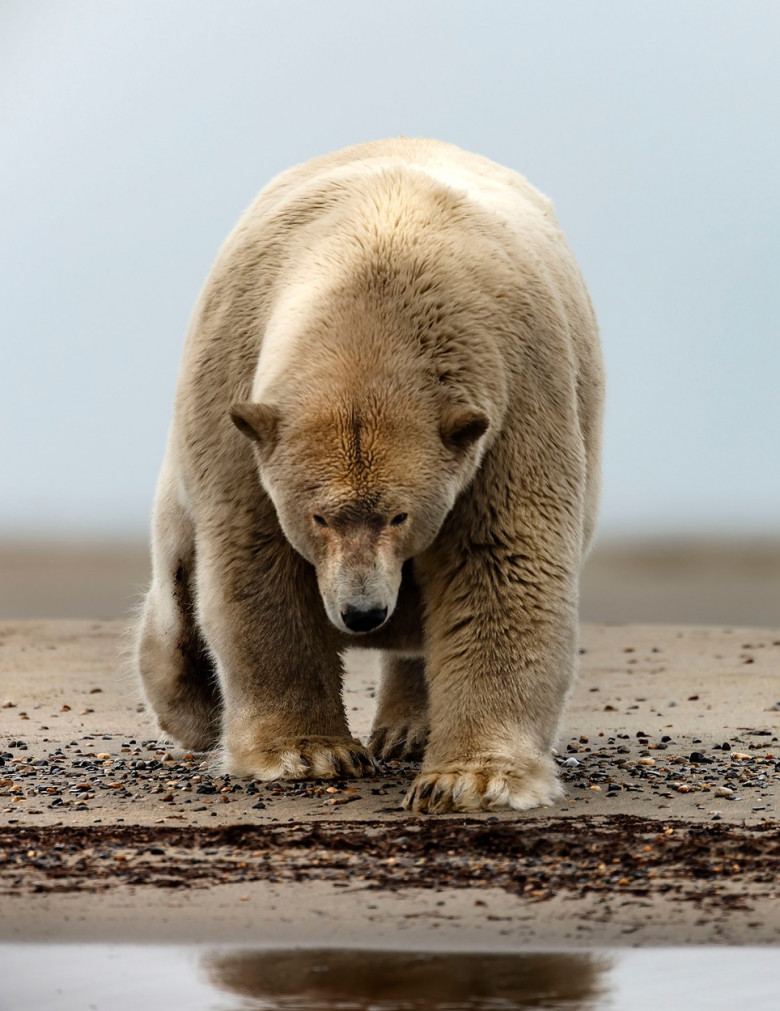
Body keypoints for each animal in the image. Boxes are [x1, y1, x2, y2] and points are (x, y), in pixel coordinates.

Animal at [137, 138, 606, 812]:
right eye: (320, 516)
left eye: (399, 514)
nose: (362, 612)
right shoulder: (237, 389)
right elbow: (259, 559)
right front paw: (307, 753)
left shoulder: (514, 402)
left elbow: (500, 559)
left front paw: (470, 779)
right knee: (178, 571)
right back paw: (190, 709)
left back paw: (409, 730)